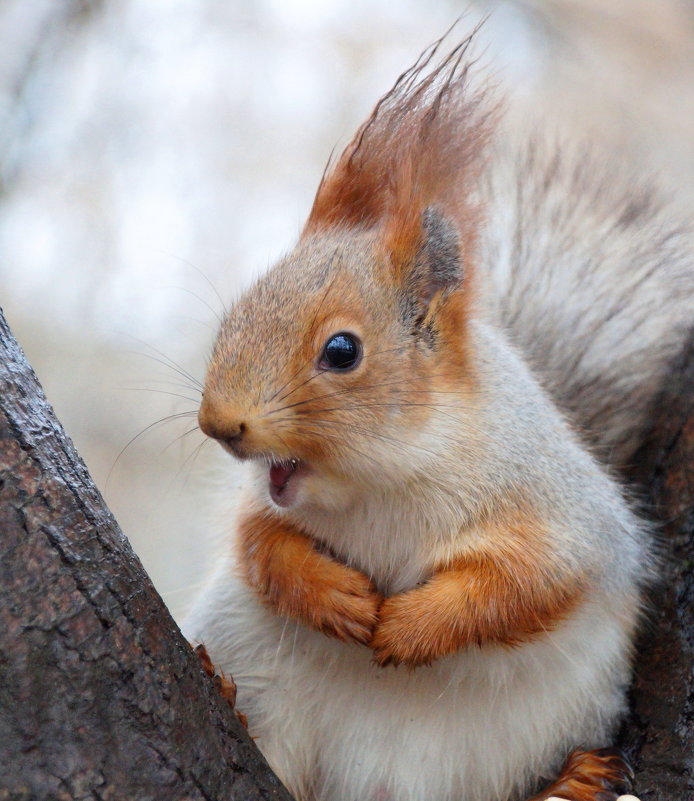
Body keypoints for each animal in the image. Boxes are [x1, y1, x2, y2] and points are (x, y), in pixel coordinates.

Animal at [182, 28, 692, 800]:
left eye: (342, 350)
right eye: (239, 309)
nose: (220, 423)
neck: (385, 477)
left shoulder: (562, 517)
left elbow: (522, 586)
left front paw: (411, 626)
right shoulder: (262, 507)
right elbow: (260, 544)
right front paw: (337, 596)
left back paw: (568, 783)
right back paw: (229, 697)